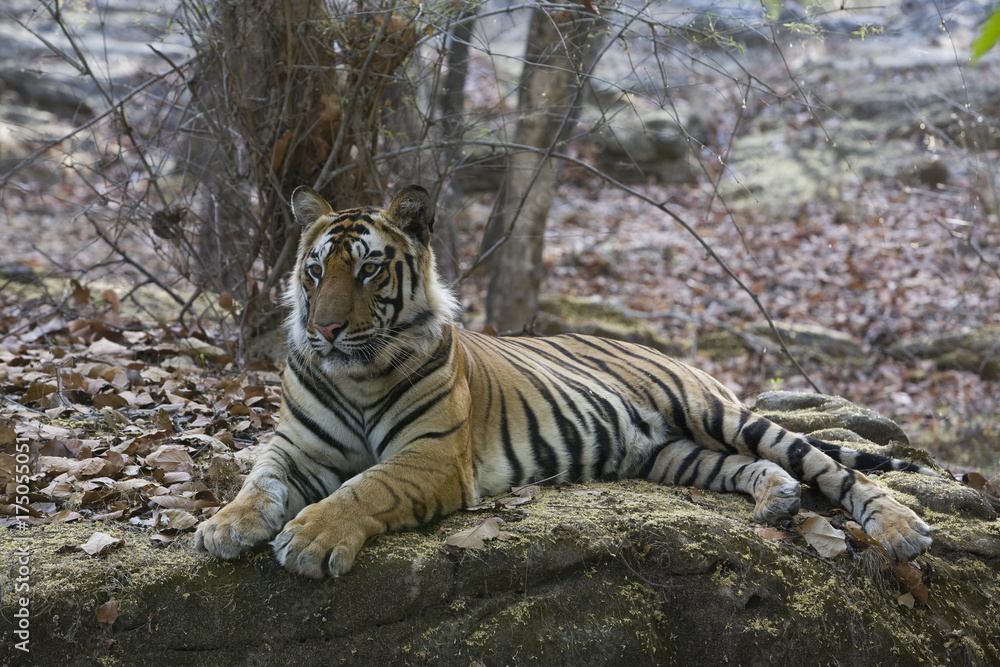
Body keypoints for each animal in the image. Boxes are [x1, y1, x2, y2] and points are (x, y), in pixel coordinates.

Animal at [194, 184, 935, 579]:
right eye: (315, 271)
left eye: (370, 270)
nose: (322, 329)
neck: (352, 376)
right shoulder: (296, 448)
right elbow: (257, 480)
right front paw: (222, 526)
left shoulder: (431, 456)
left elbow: (363, 488)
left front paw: (311, 538)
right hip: (672, 453)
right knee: (753, 467)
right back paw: (776, 500)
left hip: (714, 413)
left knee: (832, 468)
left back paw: (900, 527)